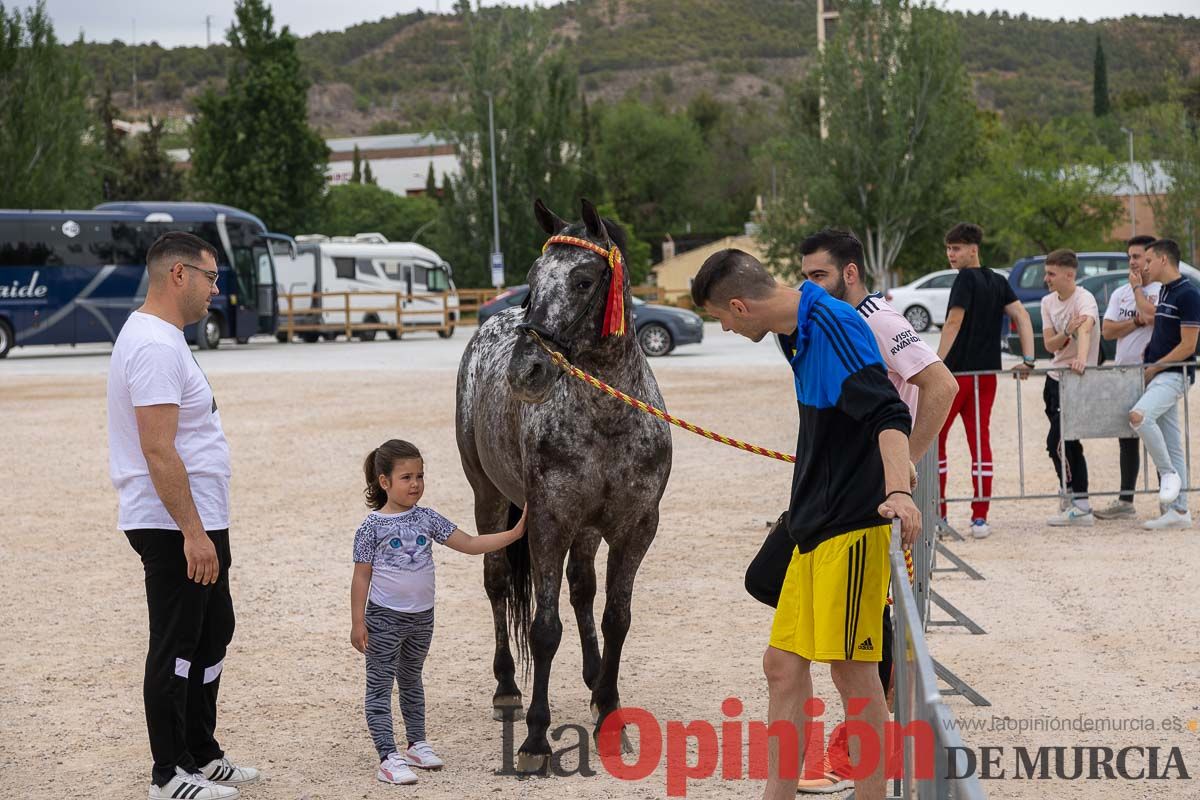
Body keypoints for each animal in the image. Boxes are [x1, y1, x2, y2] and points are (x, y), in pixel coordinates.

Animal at [451, 196, 672, 772]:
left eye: (583, 279)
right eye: (530, 279)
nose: (526, 370)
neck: (608, 420)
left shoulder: (634, 528)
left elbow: (615, 616)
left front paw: (610, 713)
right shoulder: (548, 522)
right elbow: (544, 628)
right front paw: (534, 738)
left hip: (587, 528)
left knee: (581, 587)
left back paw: (594, 680)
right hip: (489, 499)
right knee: (498, 583)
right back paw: (507, 687)